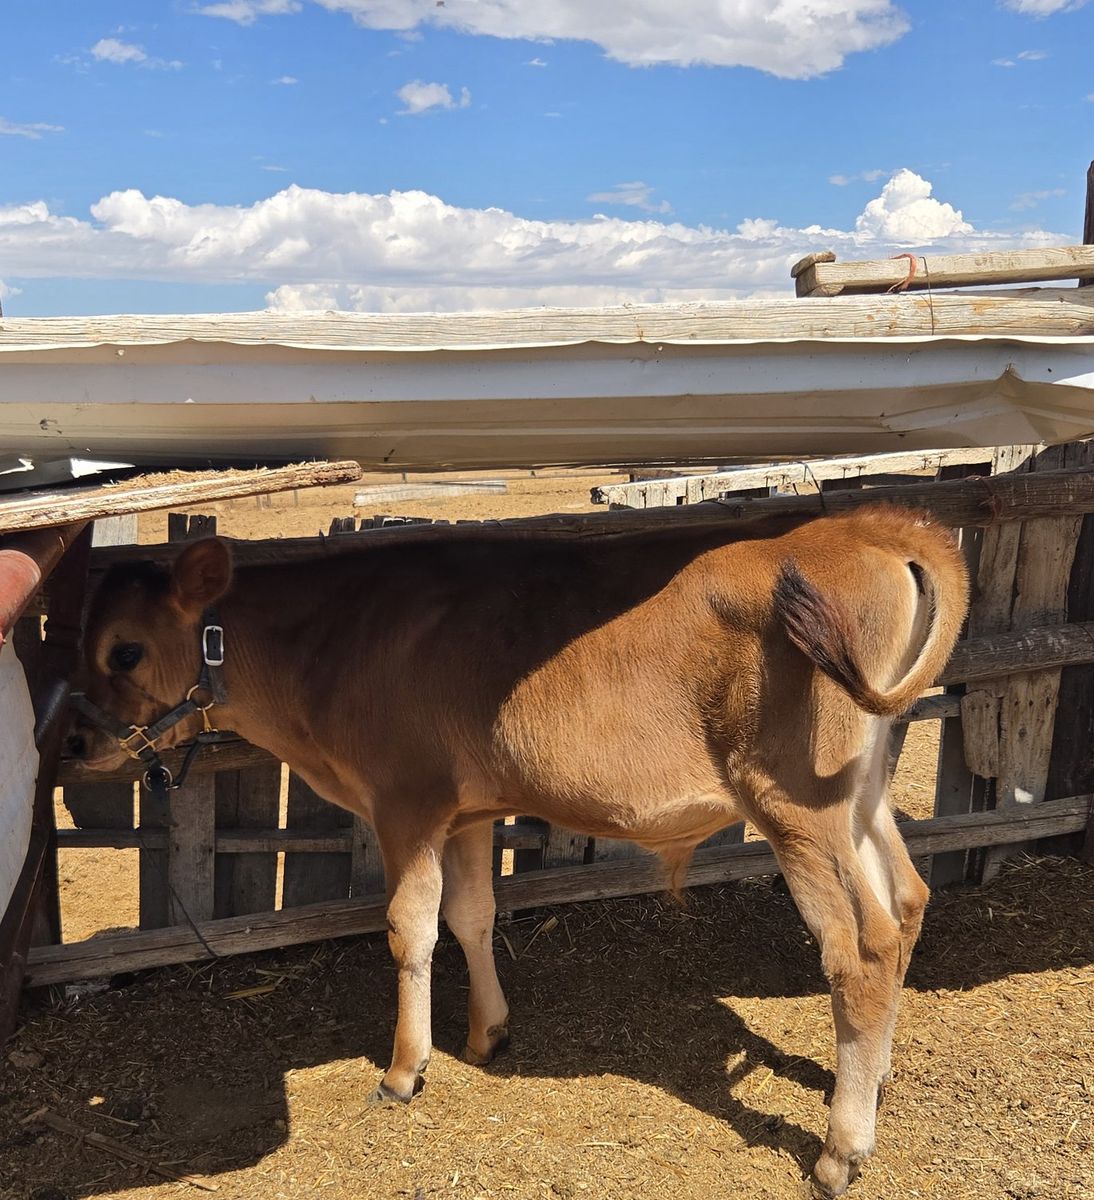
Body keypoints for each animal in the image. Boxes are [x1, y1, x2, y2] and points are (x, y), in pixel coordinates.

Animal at [68, 504, 968, 1197]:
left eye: (125, 650)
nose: (74, 739)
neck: (332, 641)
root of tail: (870, 525)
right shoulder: (467, 811)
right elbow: (471, 915)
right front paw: (486, 1033)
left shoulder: (406, 801)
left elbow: (408, 928)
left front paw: (405, 1069)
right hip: (862, 788)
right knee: (908, 901)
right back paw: (874, 1078)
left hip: (796, 800)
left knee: (861, 948)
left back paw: (841, 1148)